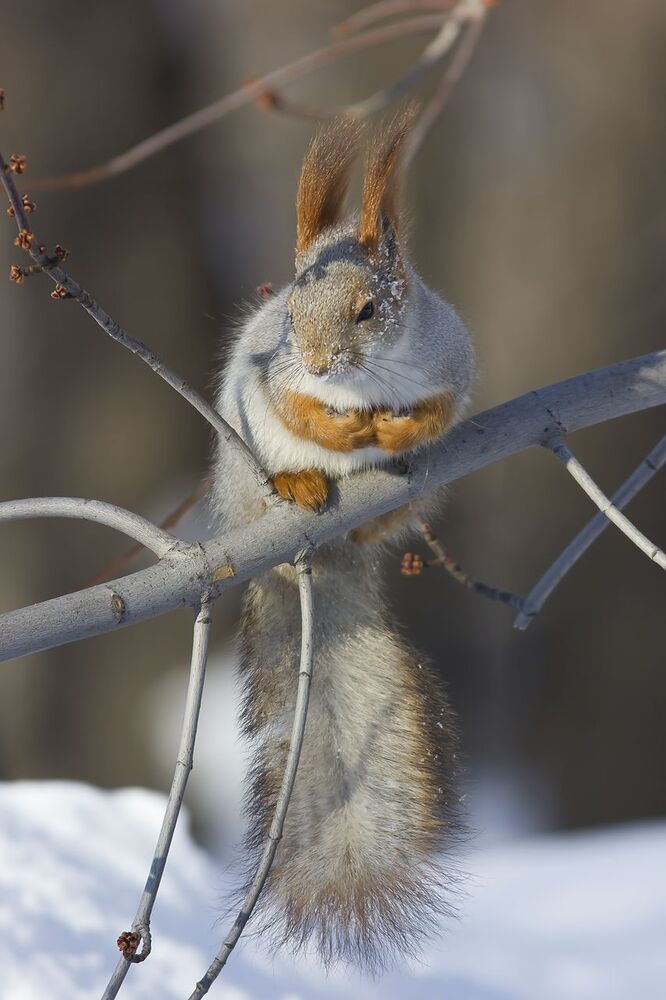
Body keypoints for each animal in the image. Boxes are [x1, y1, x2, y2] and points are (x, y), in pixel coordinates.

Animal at [211, 110, 475, 970]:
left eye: (369, 310)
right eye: (291, 314)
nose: (323, 361)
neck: (364, 381)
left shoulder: (453, 360)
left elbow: (440, 404)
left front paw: (398, 429)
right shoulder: (270, 374)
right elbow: (293, 406)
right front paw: (338, 428)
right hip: (243, 472)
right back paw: (299, 484)